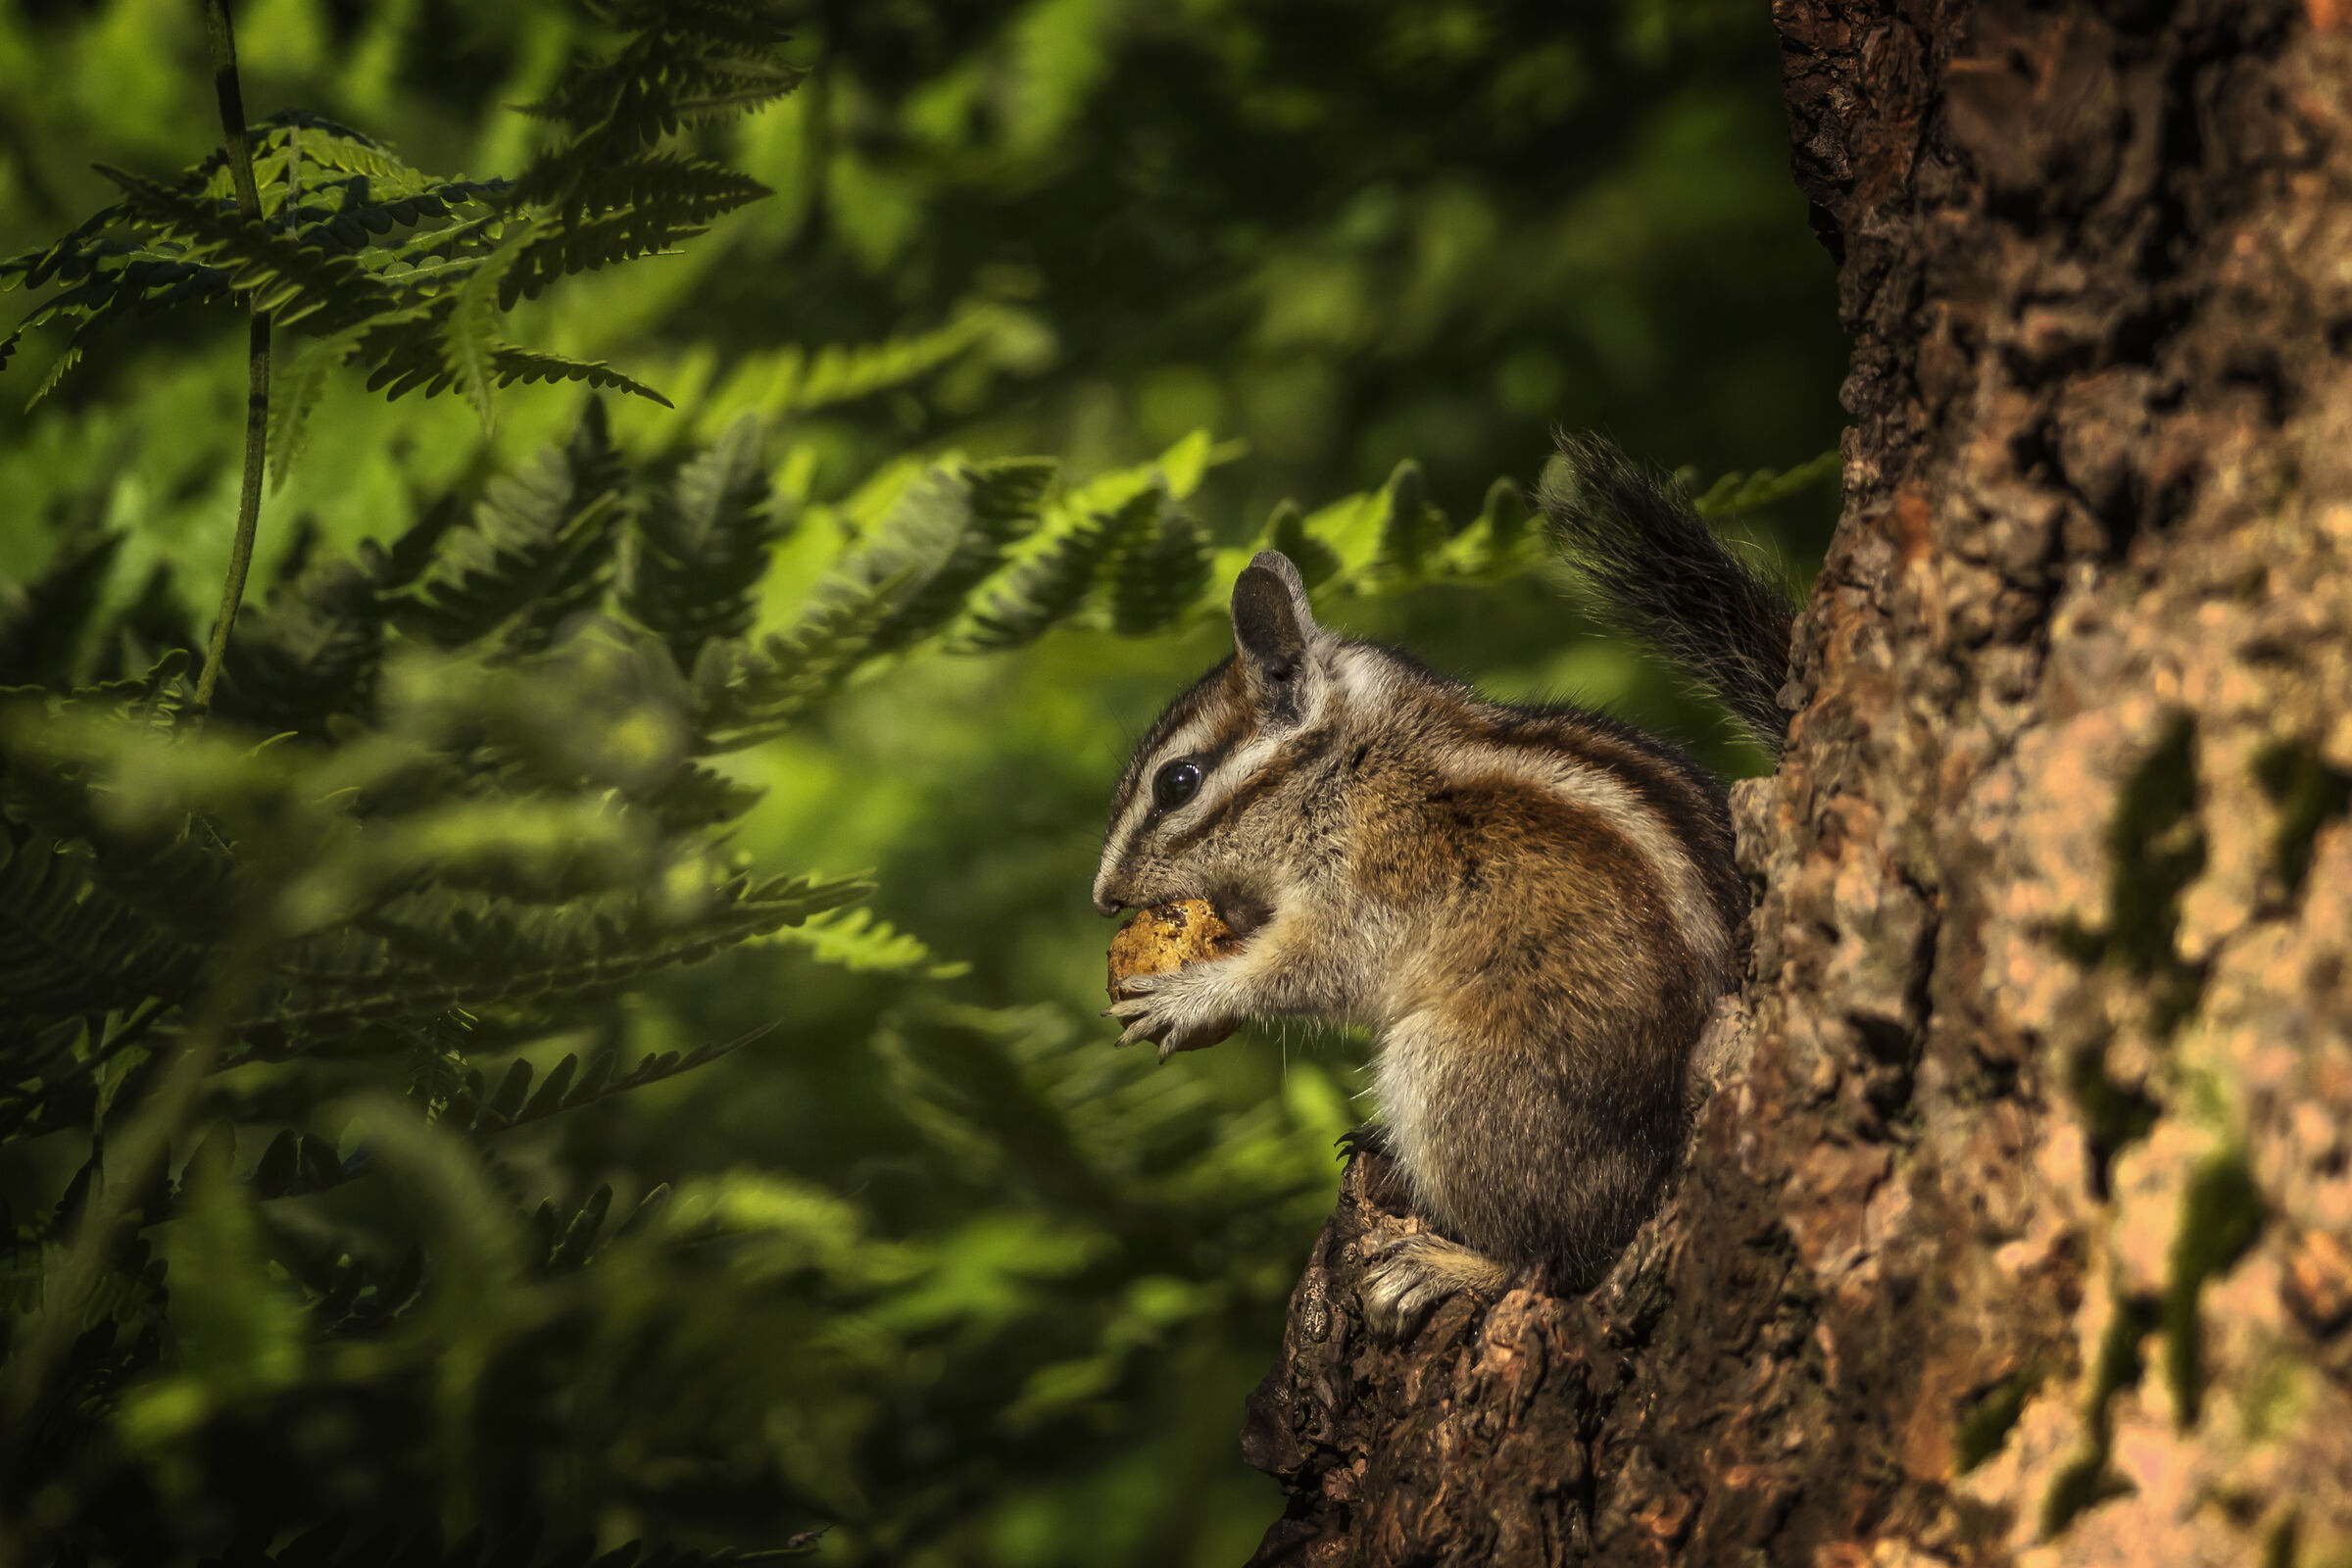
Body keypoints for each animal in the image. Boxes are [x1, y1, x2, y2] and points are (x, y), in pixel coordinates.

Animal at [1092, 432, 1799, 1334]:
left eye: (1177, 783)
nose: (1103, 898)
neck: (1348, 763)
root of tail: (1665, 1175)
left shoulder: (1369, 883)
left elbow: (1316, 969)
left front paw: (1189, 997)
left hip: (1459, 1072)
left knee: (1554, 1255)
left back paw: (1446, 1264)